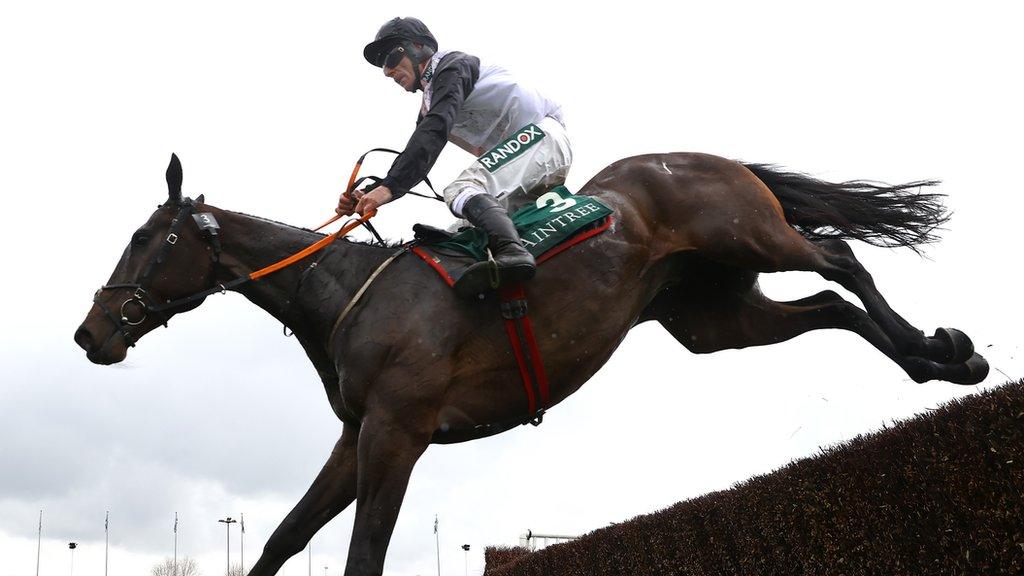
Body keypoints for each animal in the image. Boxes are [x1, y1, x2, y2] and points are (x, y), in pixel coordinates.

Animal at [72, 152, 983, 573]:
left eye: (145, 238)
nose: (90, 334)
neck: (343, 293)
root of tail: (718, 158)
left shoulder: (397, 433)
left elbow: (364, 553)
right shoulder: (355, 435)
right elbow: (286, 537)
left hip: (750, 234)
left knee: (839, 260)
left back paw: (950, 355)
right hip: (712, 316)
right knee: (828, 303)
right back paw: (932, 359)